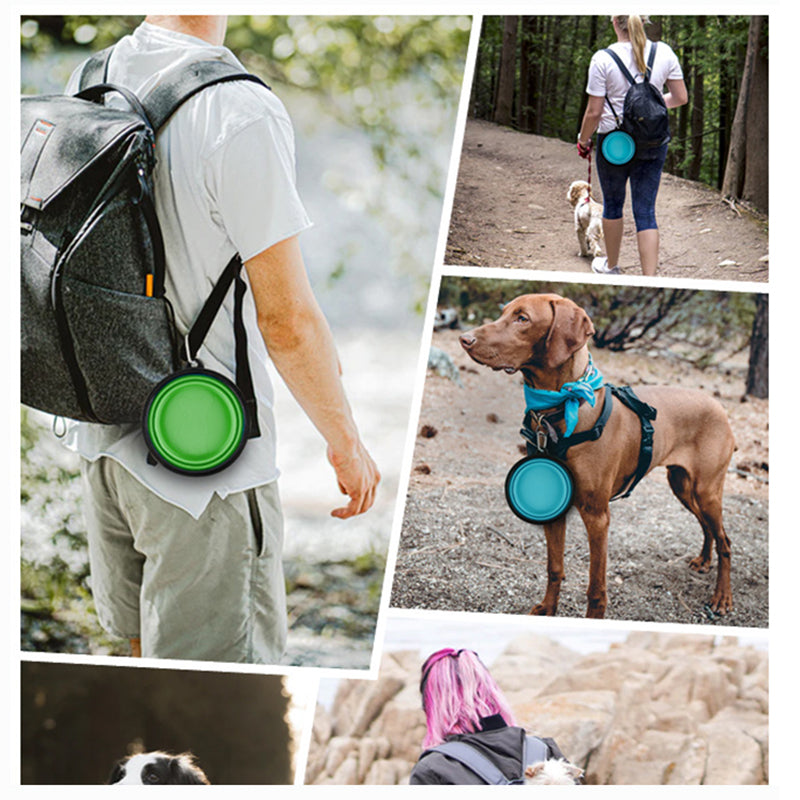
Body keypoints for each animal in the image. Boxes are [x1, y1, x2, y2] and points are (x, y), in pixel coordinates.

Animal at [460, 294, 736, 620]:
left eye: (522, 318)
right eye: (503, 312)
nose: (465, 339)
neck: (562, 406)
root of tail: (719, 407)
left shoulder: (597, 516)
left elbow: (596, 588)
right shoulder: (555, 509)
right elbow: (555, 567)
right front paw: (548, 609)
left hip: (706, 490)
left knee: (725, 540)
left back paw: (722, 598)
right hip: (682, 485)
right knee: (708, 527)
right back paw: (704, 561)